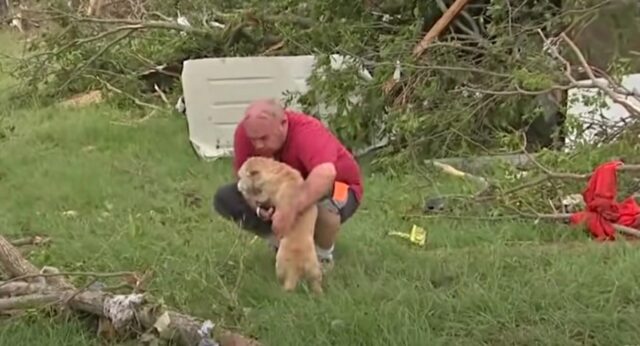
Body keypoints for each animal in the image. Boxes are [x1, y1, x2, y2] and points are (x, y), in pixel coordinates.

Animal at [236, 157, 324, 294]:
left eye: (241, 175)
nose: (237, 185)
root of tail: (296, 269)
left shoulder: (268, 193)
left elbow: (261, 196)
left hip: (281, 266)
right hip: (314, 272)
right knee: (316, 284)